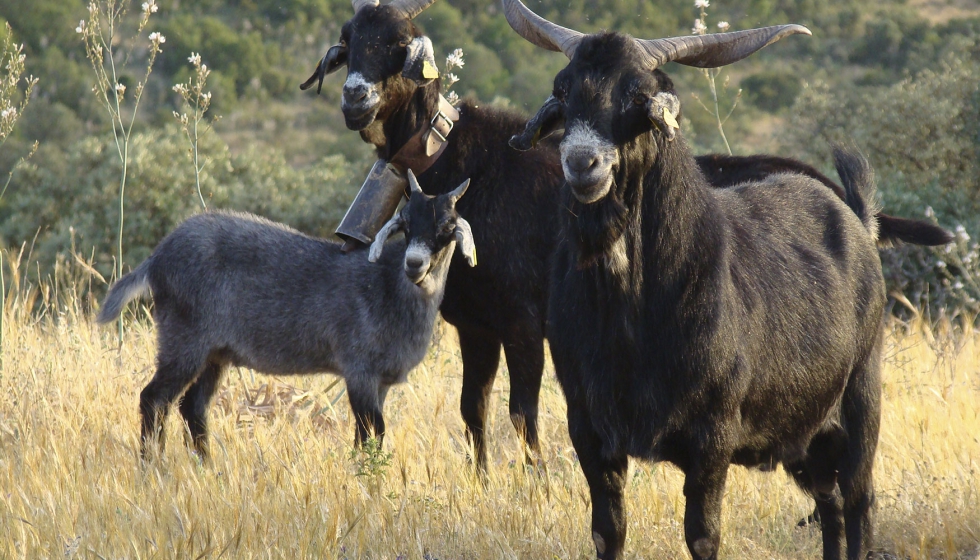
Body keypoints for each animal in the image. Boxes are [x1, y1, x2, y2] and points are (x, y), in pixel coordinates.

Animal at [97, 171, 475, 459]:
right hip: (184, 340)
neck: (388, 284)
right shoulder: (360, 370)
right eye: (406, 222)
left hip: (214, 353)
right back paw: (153, 466)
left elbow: (367, 435)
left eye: (447, 225)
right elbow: (372, 432)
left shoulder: (379, 381)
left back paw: (205, 466)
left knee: (192, 406)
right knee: (154, 399)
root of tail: (157, 259)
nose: (414, 264)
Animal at [301, 0, 951, 475]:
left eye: (399, 43)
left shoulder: (524, 323)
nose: (355, 97)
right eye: (349, 39)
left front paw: (535, 486)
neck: (463, 163)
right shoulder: (477, 326)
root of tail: (852, 208)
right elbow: (472, 411)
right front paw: (482, 483)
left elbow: (522, 413)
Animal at [505, 2, 888, 558]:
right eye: (563, 87)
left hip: (862, 400)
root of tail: (857, 221)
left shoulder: (713, 436)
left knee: (859, 500)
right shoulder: (590, 429)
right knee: (831, 503)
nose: (582, 163)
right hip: (806, 432)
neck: (634, 314)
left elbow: (703, 536)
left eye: (637, 94)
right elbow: (607, 530)